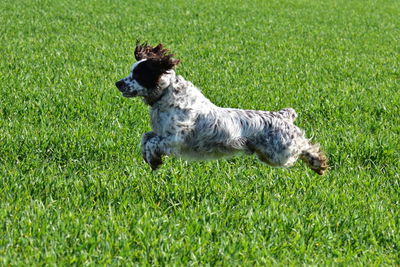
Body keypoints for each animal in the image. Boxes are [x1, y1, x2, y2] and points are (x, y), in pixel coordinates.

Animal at [115, 43, 328, 175]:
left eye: (139, 74)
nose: (118, 83)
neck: (165, 95)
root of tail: (282, 115)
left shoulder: (175, 138)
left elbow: (153, 142)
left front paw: (153, 159)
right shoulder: (161, 132)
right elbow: (146, 138)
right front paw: (151, 159)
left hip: (281, 153)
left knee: (305, 145)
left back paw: (318, 162)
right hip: (270, 154)